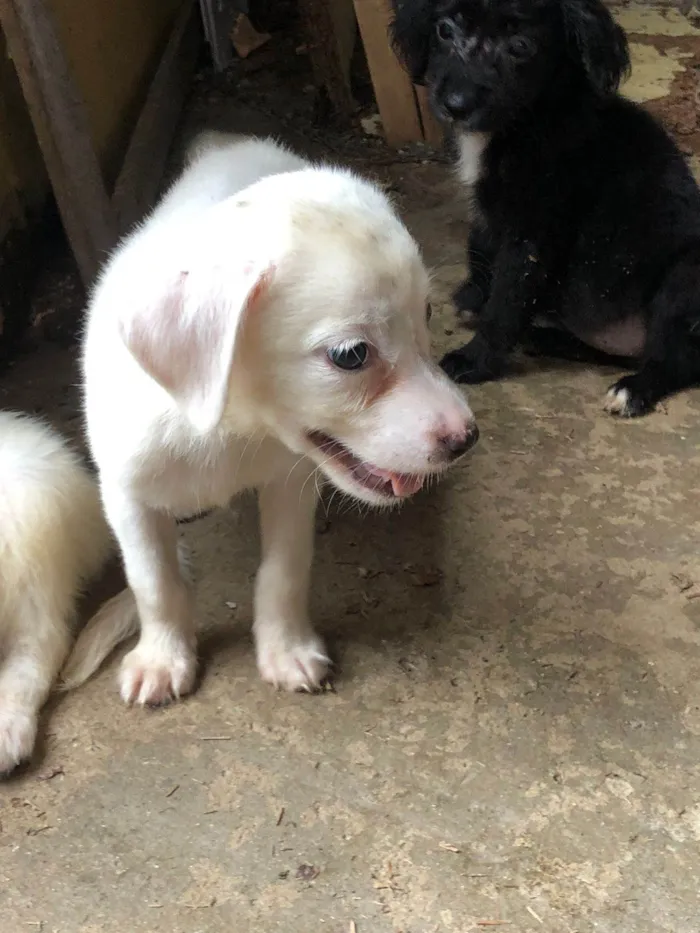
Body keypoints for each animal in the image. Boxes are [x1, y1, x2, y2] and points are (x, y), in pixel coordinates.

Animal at [79, 127, 478, 704]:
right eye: (351, 355)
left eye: (426, 314)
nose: (467, 438)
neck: (228, 430)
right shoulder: (126, 494)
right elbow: (154, 583)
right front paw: (161, 658)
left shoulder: (291, 482)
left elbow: (284, 572)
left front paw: (285, 650)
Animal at [388, 0, 700, 416]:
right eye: (444, 30)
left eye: (520, 46)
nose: (455, 106)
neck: (527, 120)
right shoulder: (490, 215)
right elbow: (480, 250)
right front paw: (474, 297)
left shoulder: (534, 231)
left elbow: (507, 299)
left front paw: (476, 359)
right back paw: (545, 339)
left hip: (685, 277)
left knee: (676, 358)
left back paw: (633, 389)